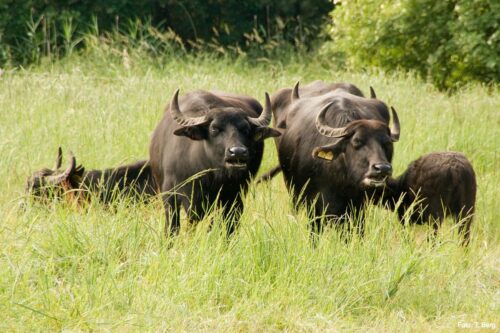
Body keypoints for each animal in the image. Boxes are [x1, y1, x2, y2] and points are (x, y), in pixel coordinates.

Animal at [148, 88, 282, 236]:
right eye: (214, 128)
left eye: (246, 129)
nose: (238, 152)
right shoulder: (170, 194)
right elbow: (173, 226)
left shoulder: (234, 197)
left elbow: (229, 227)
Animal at [264, 80, 400, 231]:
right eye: (356, 141)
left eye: (387, 143)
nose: (382, 168)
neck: (340, 178)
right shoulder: (312, 203)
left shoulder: (358, 207)